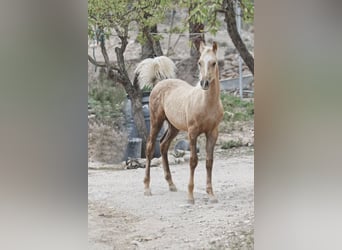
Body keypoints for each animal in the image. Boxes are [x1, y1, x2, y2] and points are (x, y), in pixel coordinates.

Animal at [144, 42, 224, 204]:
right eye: (199, 62)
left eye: (214, 63)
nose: (204, 83)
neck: (206, 104)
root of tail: (159, 83)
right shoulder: (192, 133)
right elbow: (193, 161)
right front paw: (190, 196)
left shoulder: (213, 133)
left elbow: (209, 162)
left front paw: (211, 194)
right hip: (156, 121)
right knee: (150, 148)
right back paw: (147, 188)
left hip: (173, 127)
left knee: (163, 145)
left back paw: (171, 184)